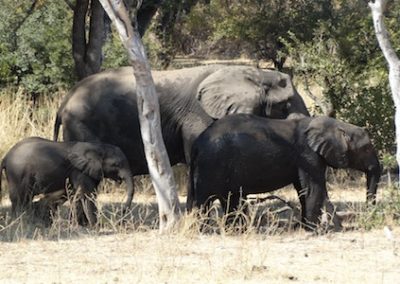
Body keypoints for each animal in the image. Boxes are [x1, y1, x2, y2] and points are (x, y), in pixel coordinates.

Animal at [0, 136, 135, 225]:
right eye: (116, 164)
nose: (122, 212)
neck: (98, 147)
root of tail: (5, 157)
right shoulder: (79, 171)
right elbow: (86, 195)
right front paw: (94, 227)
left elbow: (81, 195)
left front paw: (81, 225)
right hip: (18, 173)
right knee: (21, 199)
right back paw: (22, 222)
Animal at [188, 113, 382, 229]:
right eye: (366, 148)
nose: (368, 218)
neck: (335, 124)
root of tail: (198, 142)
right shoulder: (308, 154)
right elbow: (313, 188)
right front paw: (314, 230)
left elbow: (303, 190)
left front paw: (306, 227)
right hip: (212, 164)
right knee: (205, 199)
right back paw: (204, 230)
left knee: (229, 198)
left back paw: (235, 230)